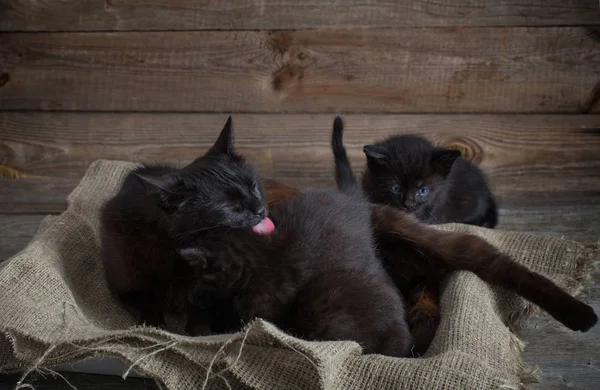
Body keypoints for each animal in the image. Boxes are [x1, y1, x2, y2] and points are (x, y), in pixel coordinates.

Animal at [100, 116, 272, 336]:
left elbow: (200, 311)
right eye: (230, 205)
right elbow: (147, 304)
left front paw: (200, 332)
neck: (174, 248)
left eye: (253, 186)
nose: (260, 210)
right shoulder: (129, 286)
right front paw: (154, 326)